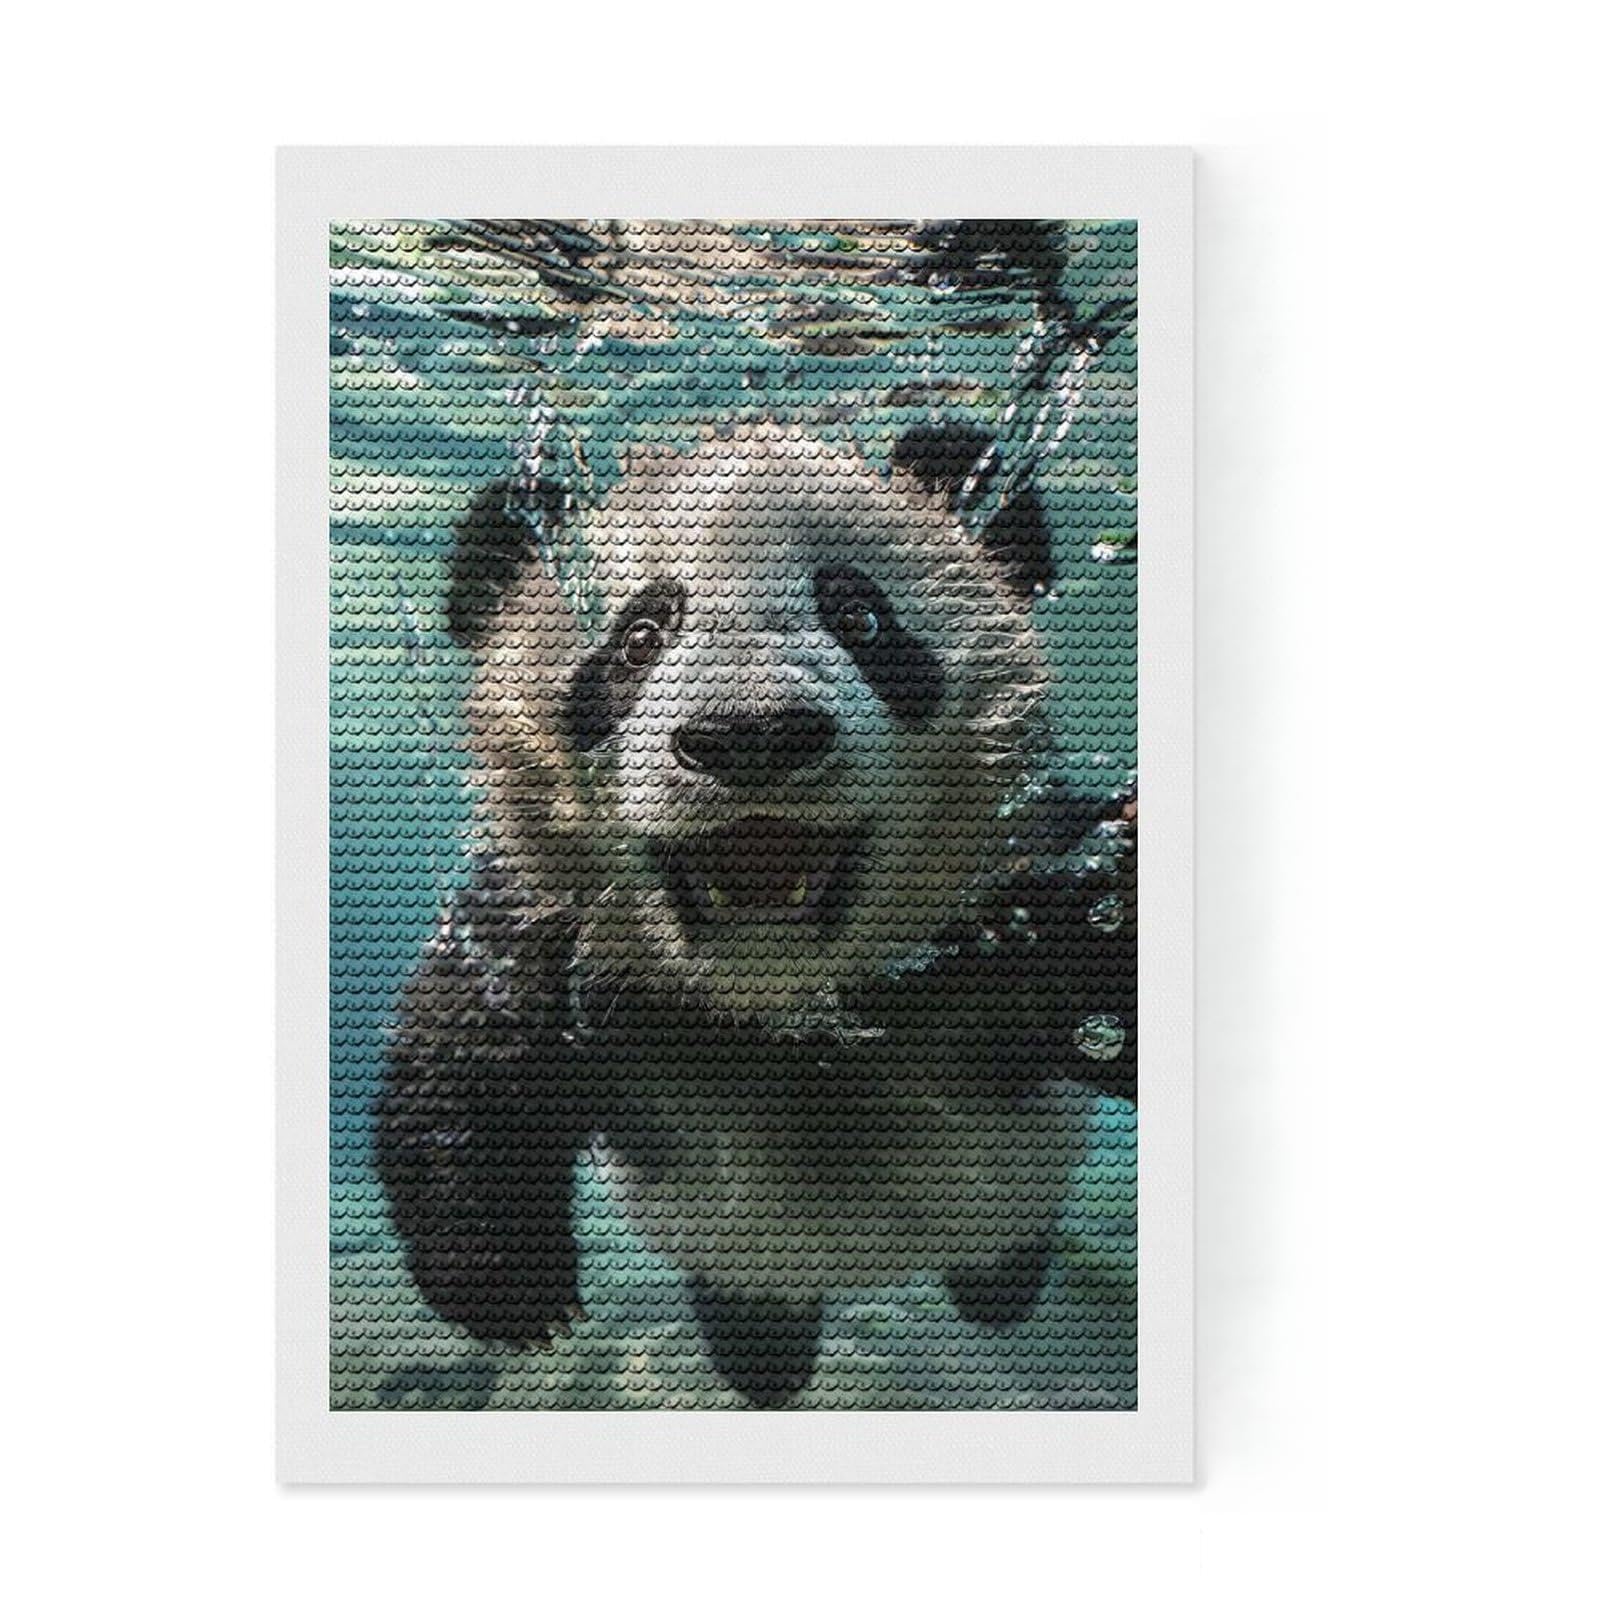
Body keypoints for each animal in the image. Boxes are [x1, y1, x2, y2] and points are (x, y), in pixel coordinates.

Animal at [378, 421, 1136, 1407]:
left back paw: (999, 1289)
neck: (784, 1006)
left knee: (999, 1272)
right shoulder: (566, 943)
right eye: (638, 637)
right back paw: (766, 1359)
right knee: (756, 1320)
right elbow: (466, 1044)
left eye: (861, 618)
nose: (752, 737)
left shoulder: (1016, 901)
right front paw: (509, 1286)